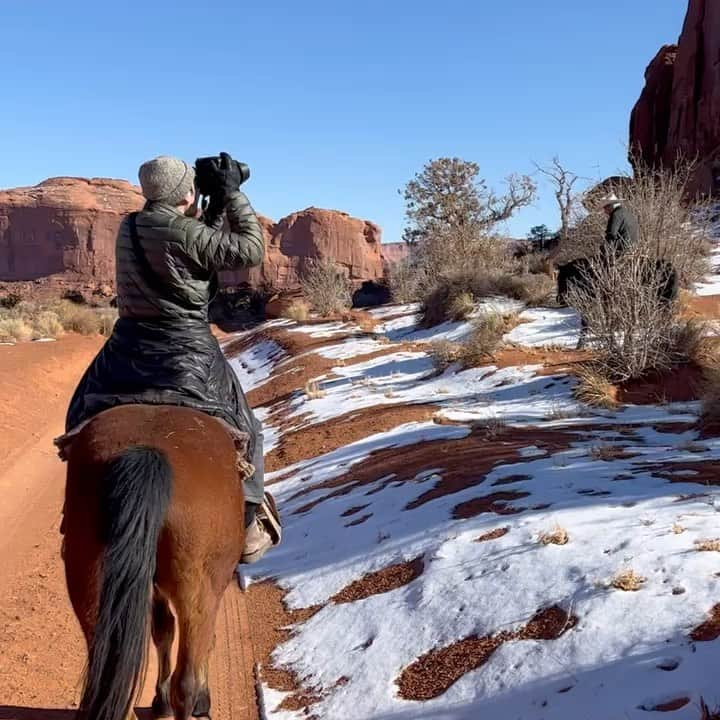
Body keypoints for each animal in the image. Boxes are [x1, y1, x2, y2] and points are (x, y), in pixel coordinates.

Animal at [62, 404, 248, 720]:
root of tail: (148, 452)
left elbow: (162, 630)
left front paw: (159, 702)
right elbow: (205, 641)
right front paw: (199, 701)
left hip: (87, 579)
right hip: (197, 589)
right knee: (184, 682)